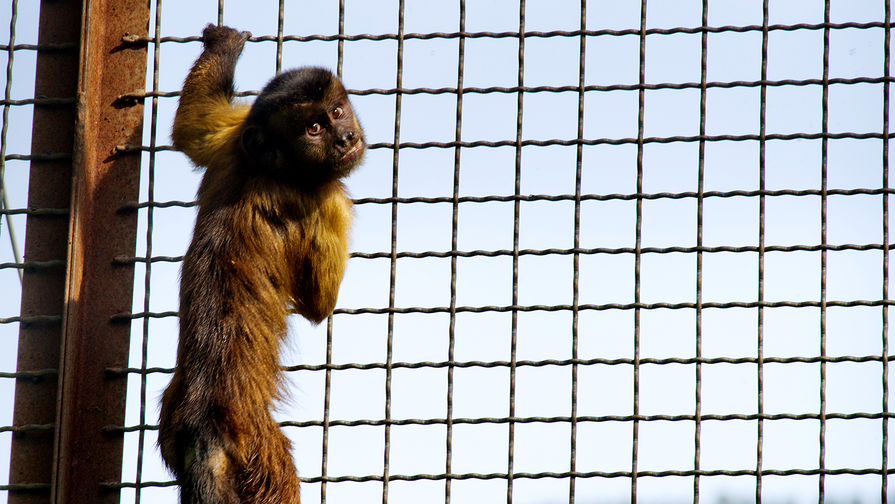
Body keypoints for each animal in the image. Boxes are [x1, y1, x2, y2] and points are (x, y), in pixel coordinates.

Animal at [158, 24, 364, 504]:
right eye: (313, 128)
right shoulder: (319, 195)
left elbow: (194, 129)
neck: (267, 167)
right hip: (260, 452)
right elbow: (317, 304)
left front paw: (224, 45)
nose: (346, 139)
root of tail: (204, 429)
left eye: (338, 111)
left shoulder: (233, 141)